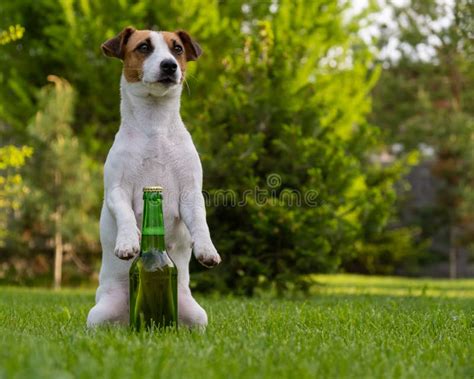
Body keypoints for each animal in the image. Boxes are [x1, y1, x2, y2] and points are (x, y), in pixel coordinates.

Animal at [87, 26, 222, 330]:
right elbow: (125, 213)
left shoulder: (190, 193)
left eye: (177, 49)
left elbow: (201, 222)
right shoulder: (116, 190)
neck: (155, 125)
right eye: (144, 47)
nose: (169, 65)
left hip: (197, 316)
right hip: (98, 314)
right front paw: (128, 241)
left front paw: (206, 249)